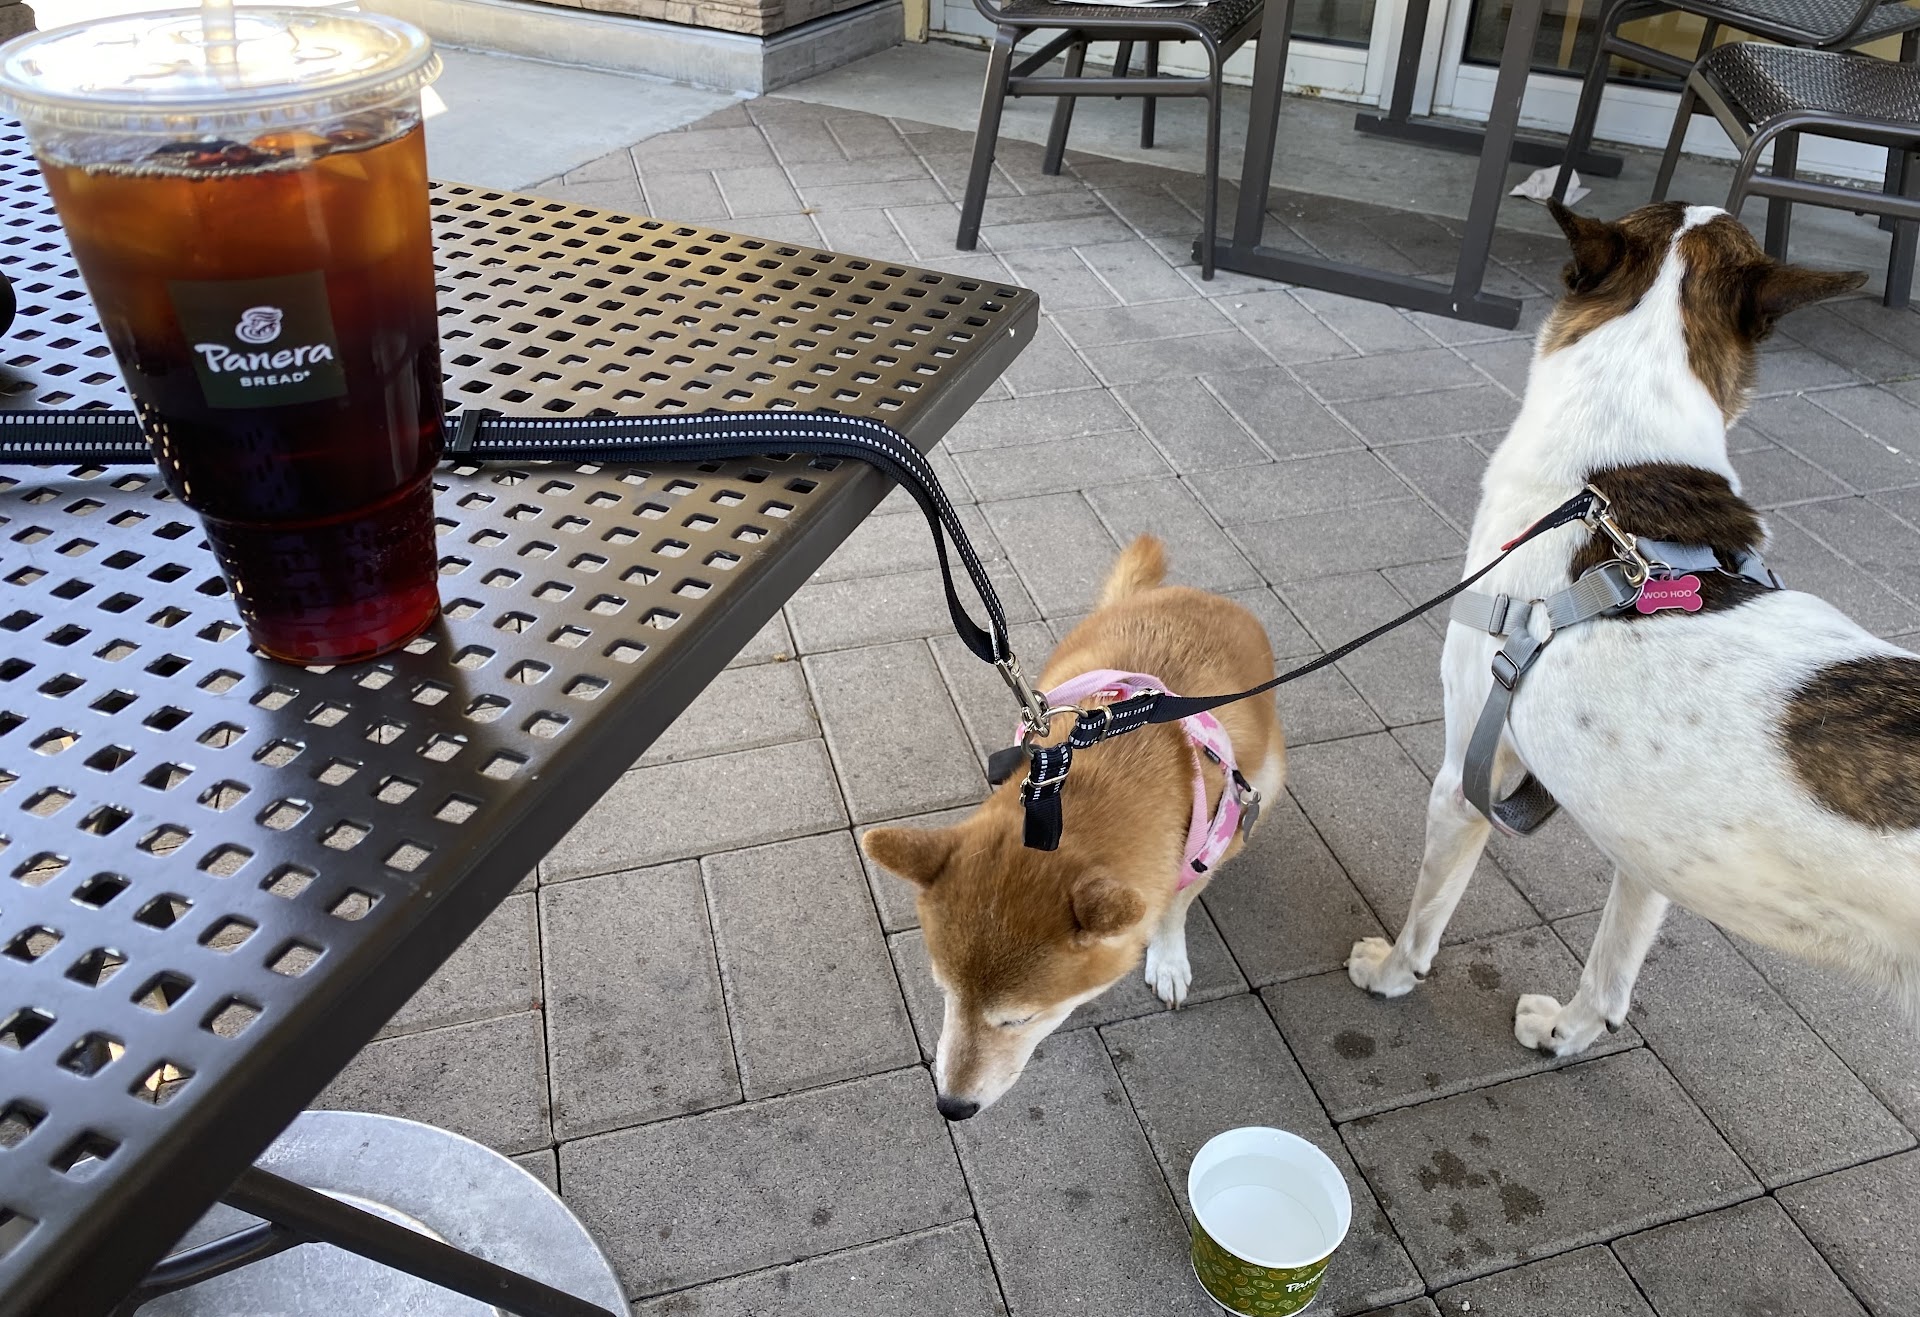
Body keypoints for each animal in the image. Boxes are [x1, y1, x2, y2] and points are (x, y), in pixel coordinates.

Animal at [863, 536, 1284, 1119]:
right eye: (943, 993)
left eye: (1018, 1018)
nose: (951, 1107)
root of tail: (1194, 595)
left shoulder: (1210, 846)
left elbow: (1174, 905)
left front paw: (1168, 957)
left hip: (1264, 782)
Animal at [1347, 199, 1920, 1053]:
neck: (1617, 465)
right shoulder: (1655, 846)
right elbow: (1613, 962)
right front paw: (1571, 1029)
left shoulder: (1466, 776)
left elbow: (1428, 912)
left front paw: (1391, 971)